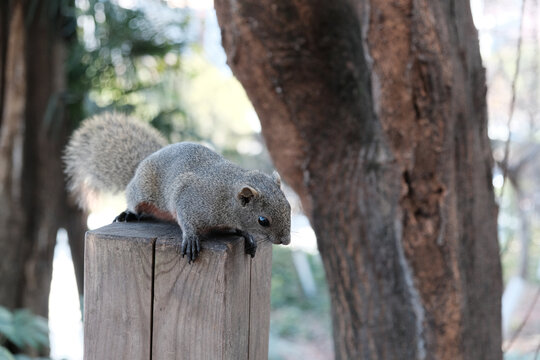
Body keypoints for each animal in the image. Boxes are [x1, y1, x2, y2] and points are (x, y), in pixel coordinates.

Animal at [63, 112, 292, 262]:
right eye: (263, 220)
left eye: (289, 207)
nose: (286, 241)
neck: (225, 197)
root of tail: (142, 163)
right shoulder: (189, 197)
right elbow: (187, 220)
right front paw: (191, 239)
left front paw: (248, 236)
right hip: (143, 190)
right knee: (134, 202)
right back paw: (129, 213)